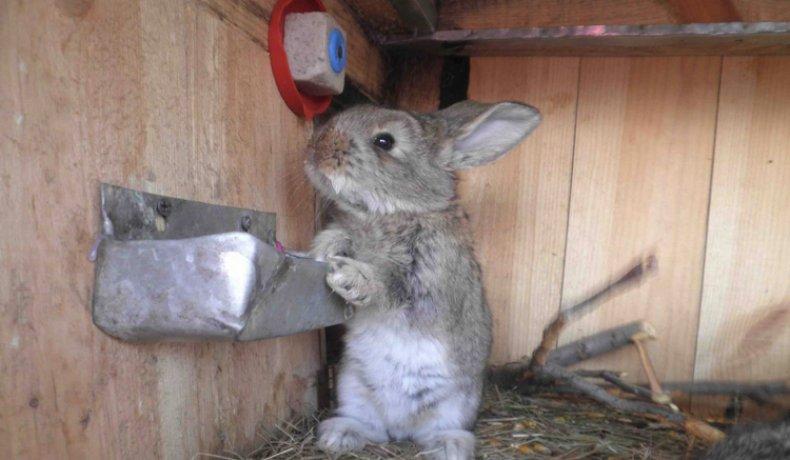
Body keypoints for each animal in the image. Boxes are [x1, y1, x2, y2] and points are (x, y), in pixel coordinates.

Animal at [304, 101, 541, 459]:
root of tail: (401, 427)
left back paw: (449, 447)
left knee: (441, 430)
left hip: (457, 404)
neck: (395, 212)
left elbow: (389, 286)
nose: (316, 150)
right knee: (371, 427)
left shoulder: (428, 280)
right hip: (352, 386)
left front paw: (347, 276)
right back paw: (339, 436)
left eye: (385, 141)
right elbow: (341, 235)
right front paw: (324, 250)